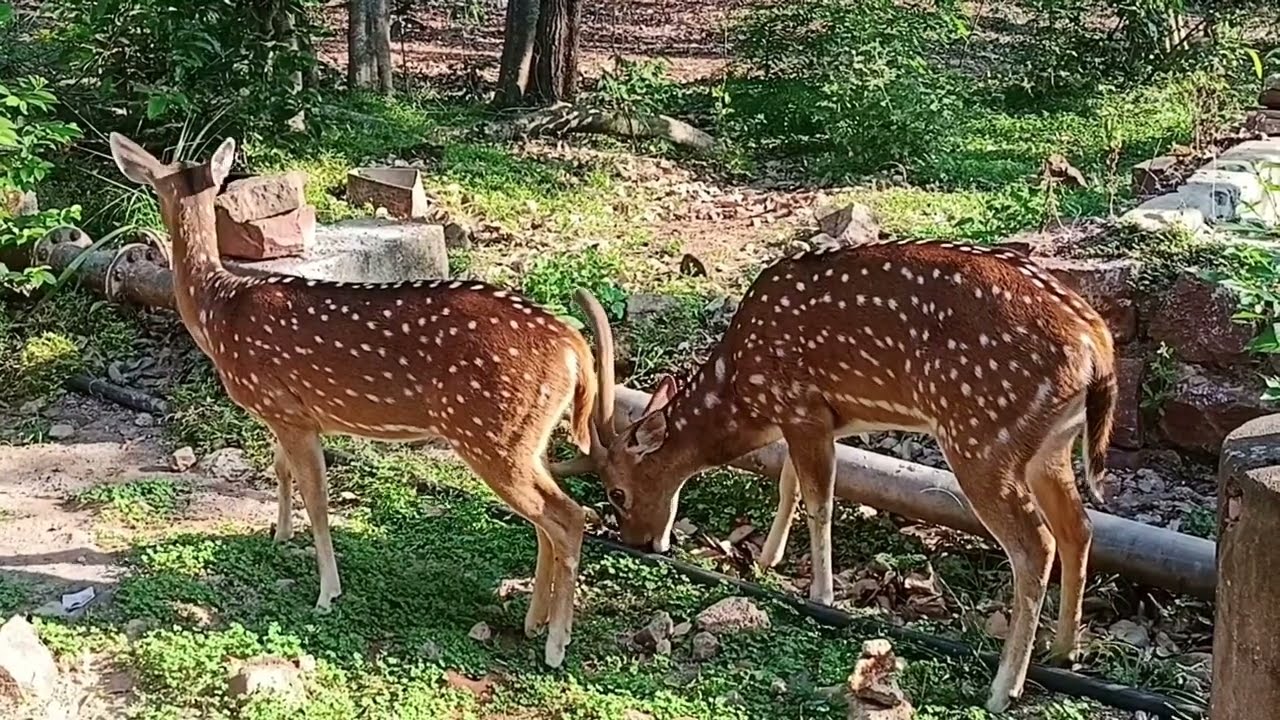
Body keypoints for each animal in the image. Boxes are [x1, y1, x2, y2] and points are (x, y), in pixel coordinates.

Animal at [109, 132, 599, 667]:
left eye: (154, 187)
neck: (219, 313)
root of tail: (573, 347)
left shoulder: (286, 411)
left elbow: (319, 498)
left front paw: (326, 593)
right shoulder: (285, 410)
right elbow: (279, 470)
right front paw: (279, 536)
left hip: (491, 433)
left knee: (570, 517)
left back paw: (556, 644)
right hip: (527, 436)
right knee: (549, 518)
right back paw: (534, 622)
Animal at [553, 238, 1117, 713]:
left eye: (617, 492)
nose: (639, 542)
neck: (744, 393)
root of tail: (1098, 344)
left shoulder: (802, 407)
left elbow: (820, 498)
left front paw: (821, 594)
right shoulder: (820, 417)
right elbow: (789, 483)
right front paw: (767, 558)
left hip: (980, 435)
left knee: (1036, 544)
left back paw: (1003, 690)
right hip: (1051, 445)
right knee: (1079, 528)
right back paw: (1065, 651)